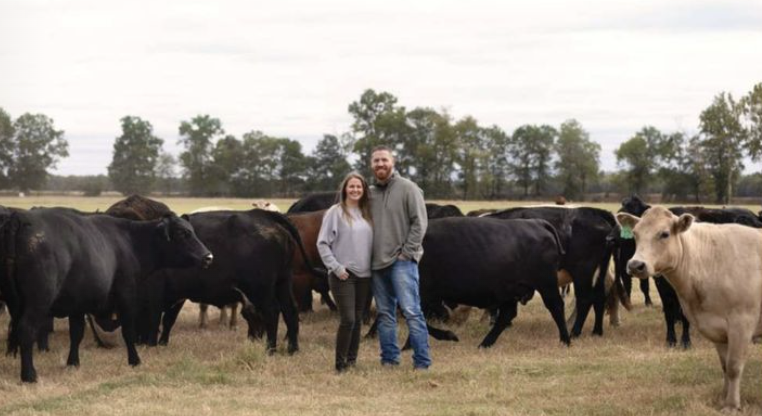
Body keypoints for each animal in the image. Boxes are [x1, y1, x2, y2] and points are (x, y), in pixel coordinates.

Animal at [0, 208, 211, 384]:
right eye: (182, 233)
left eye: (192, 231)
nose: (208, 256)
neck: (128, 241)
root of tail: (20, 218)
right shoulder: (126, 296)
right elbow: (128, 331)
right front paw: (135, 360)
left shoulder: (78, 304)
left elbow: (76, 333)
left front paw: (73, 363)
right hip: (38, 302)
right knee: (26, 330)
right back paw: (29, 375)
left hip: (15, 303)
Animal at [418, 218, 568, 348]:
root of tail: (537, 222)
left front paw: (448, 335)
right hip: (511, 291)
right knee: (507, 315)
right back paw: (484, 344)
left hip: (546, 285)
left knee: (556, 306)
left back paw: (565, 341)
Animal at [486, 206, 616, 336]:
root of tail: (594, 211)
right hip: (601, 270)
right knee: (599, 296)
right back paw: (597, 331)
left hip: (583, 272)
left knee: (585, 299)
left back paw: (575, 332)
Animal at [616, 206, 760, 412]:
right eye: (635, 234)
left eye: (665, 234)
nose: (635, 265)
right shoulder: (717, 328)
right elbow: (724, 366)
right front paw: (723, 398)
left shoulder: (742, 323)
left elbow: (733, 367)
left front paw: (732, 405)